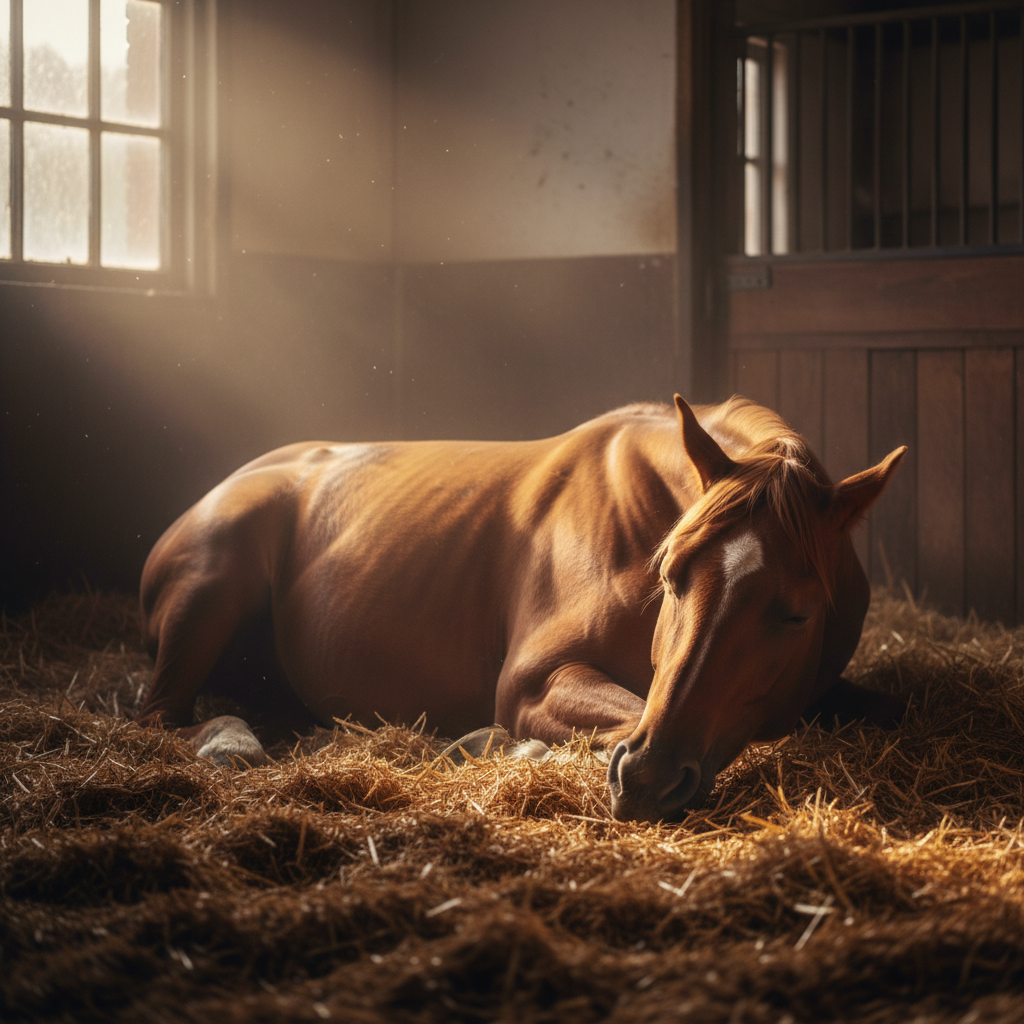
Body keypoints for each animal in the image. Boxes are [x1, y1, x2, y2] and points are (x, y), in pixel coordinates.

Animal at [136, 395, 905, 823]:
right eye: (672, 576)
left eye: (796, 614)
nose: (648, 780)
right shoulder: (538, 682)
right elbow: (614, 713)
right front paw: (502, 743)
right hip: (210, 588)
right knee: (159, 717)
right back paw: (231, 743)